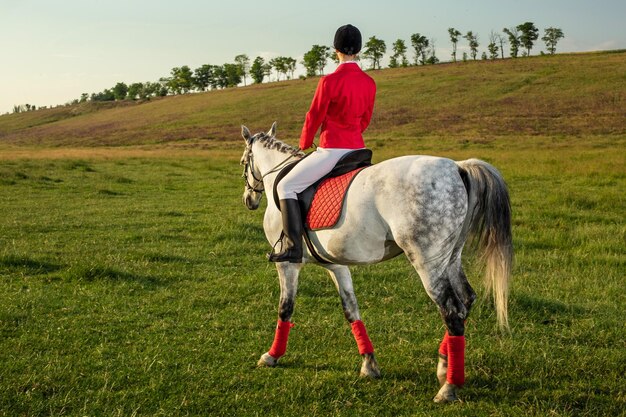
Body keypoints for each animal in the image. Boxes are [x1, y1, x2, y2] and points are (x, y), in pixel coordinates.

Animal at [239, 122, 512, 402]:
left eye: (243, 162)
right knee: (466, 300)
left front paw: (271, 356)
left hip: (428, 263)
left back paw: (448, 387)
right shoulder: (336, 264)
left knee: (452, 311)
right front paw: (369, 364)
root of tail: (457, 167)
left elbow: (285, 308)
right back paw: (443, 365)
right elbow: (351, 309)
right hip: (451, 258)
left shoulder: (287, 264)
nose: (249, 200)